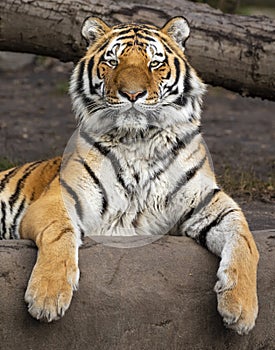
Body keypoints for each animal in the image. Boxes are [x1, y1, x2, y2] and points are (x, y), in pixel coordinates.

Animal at [0, 15, 260, 334]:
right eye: (112, 62)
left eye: (154, 63)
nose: (132, 94)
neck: (139, 141)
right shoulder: (61, 198)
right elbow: (60, 232)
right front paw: (47, 296)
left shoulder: (208, 203)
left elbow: (246, 241)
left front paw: (241, 309)